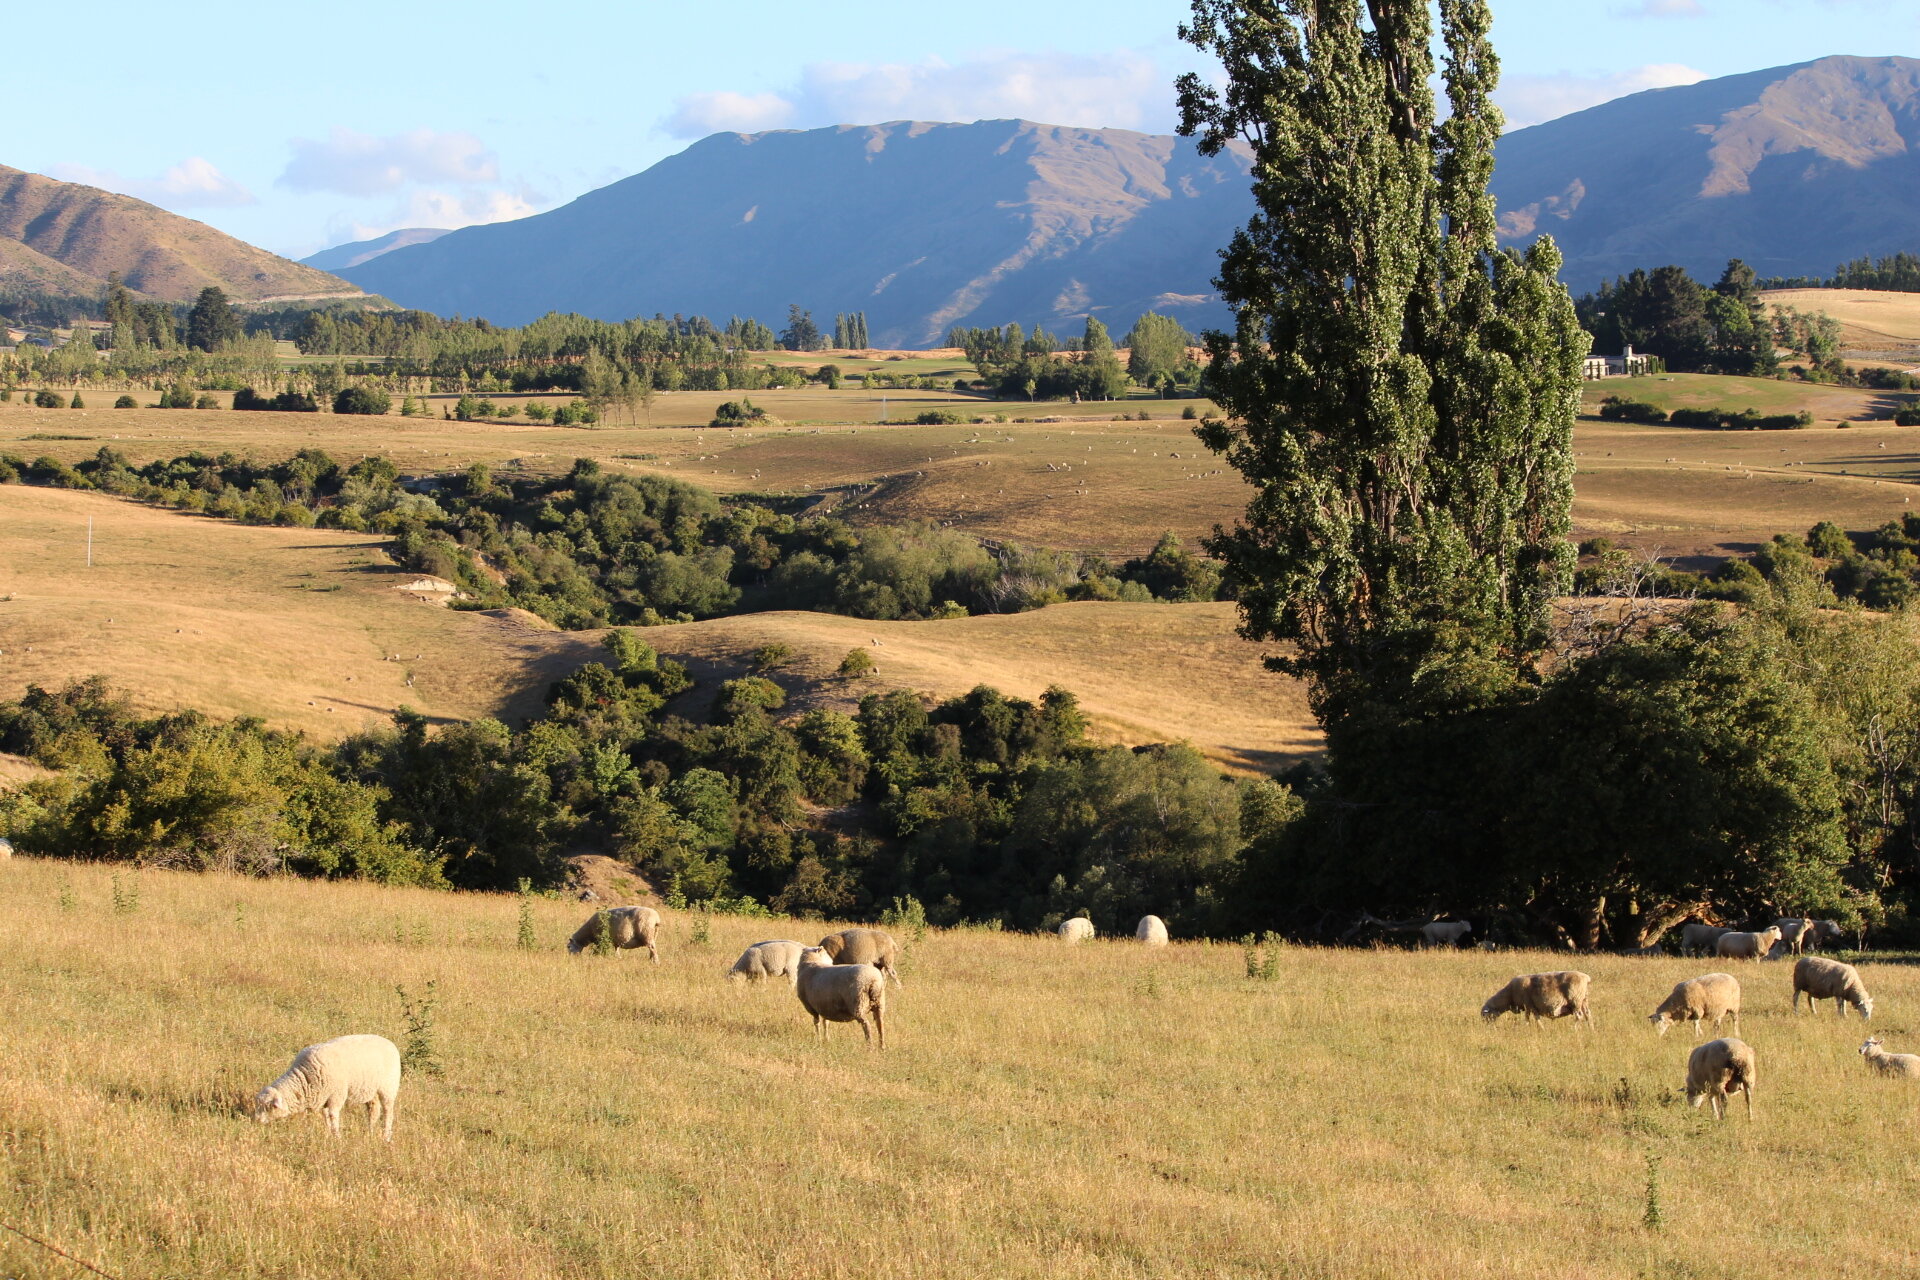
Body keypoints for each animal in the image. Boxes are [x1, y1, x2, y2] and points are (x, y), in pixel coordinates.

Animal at [251, 1028, 401, 1143]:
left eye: (269, 1106)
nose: (256, 1121)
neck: (305, 1078)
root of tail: (389, 1043)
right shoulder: (324, 1097)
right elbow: (326, 1116)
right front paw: (329, 1134)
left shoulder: (337, 1095)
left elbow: (333, 1115)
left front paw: (337, 1137)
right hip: (370, 1090)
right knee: (373, 1110)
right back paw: (370, 1132)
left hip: (388, 1088)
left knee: (388, 1112)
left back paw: (386, 1136)